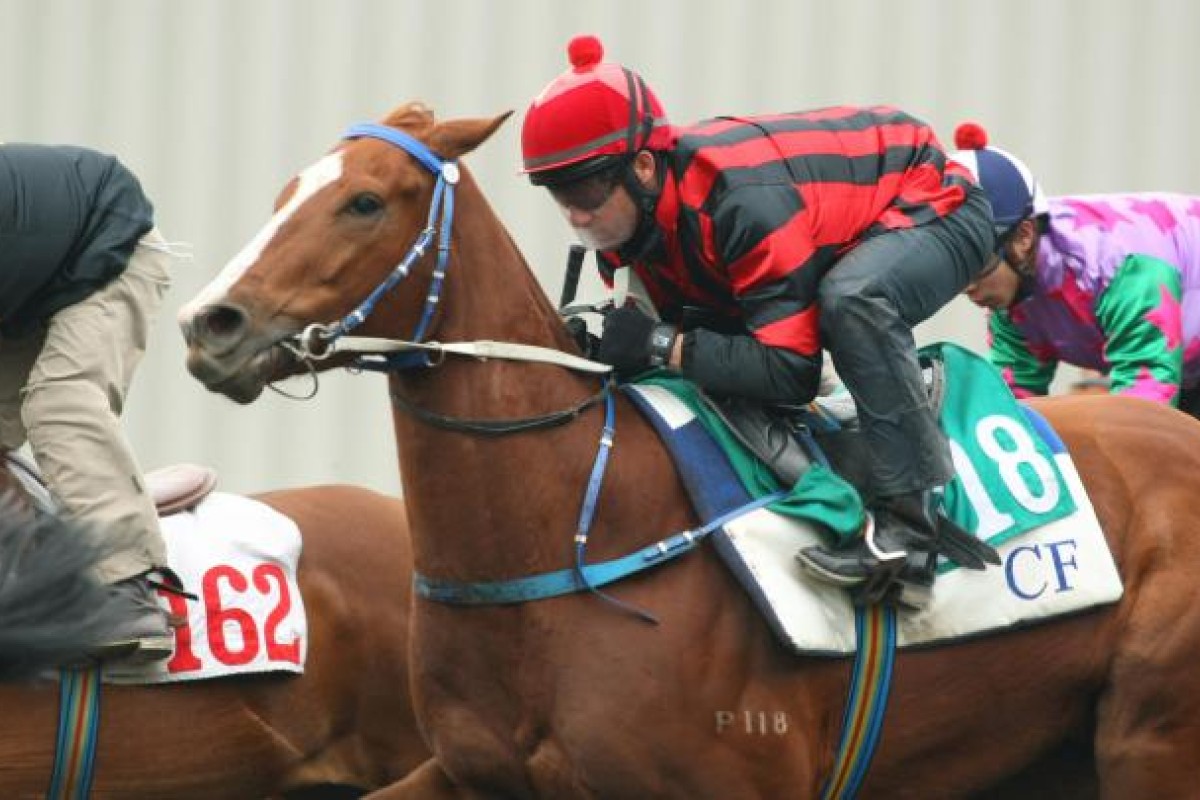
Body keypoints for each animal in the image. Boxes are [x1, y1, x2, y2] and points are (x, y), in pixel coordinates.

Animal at [177, 101, 1200, 800]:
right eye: (284, 196)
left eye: (362, 202)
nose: (210, 325)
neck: (570, 530)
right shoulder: (468, 772)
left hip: (1148, 740)